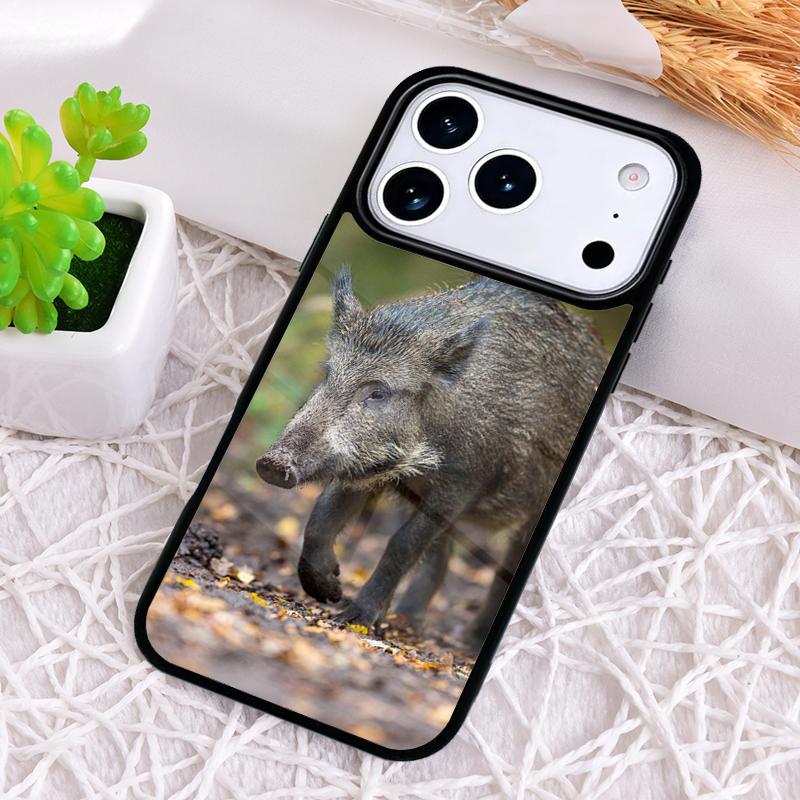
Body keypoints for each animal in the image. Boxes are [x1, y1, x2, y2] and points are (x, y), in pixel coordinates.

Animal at [256, 267, 607, 647]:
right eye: (328, 374)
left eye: (378, 392)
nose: (272, 463)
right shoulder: (370, 467)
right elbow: (321, 517)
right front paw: (329, 593)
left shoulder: (466, 480)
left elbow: (402, 543)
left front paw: (354, 618)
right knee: (442, 556)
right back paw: (409, 622)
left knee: (503, 565)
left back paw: (469, 641)